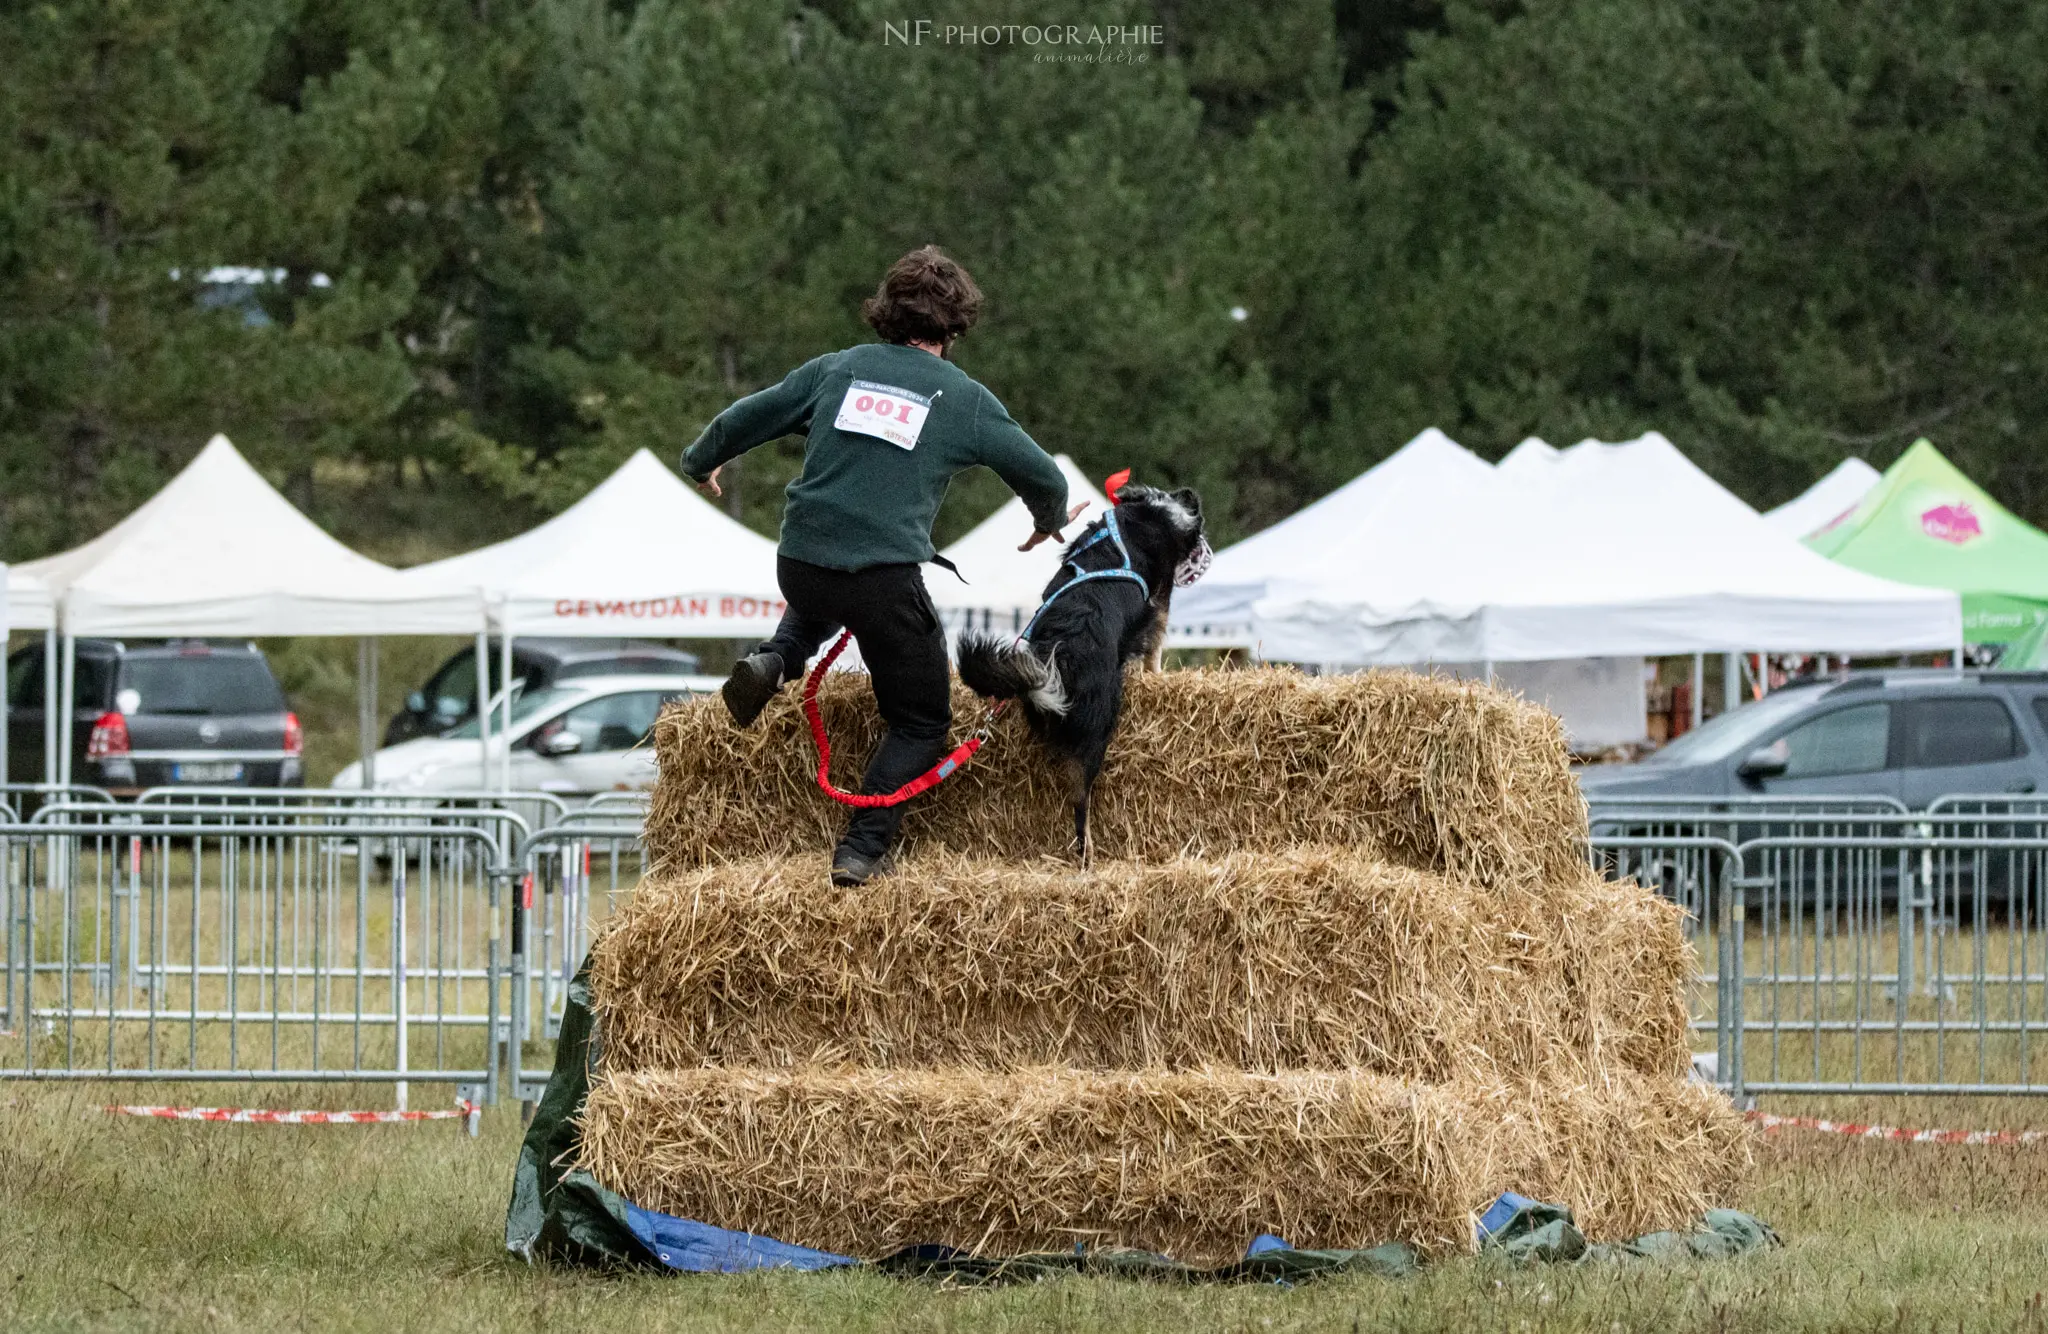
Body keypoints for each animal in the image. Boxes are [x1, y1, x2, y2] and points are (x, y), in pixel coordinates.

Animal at [954, 485, 1196, 860]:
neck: (1147, 512)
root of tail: (1059, 665)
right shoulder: (1160, 597)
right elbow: (1155, 644)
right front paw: (1155, 675)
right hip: (1099, 729)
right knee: (1081, 801)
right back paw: (1088, 854)